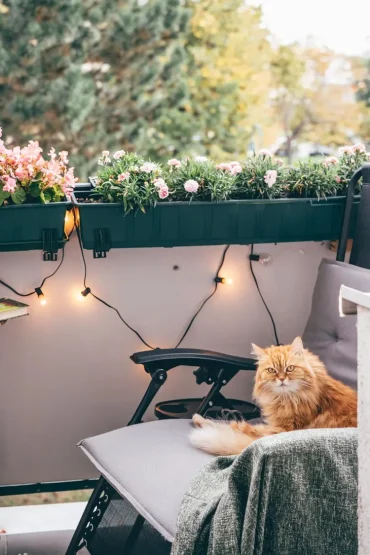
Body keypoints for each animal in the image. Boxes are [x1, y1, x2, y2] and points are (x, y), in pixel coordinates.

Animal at [189, 336, 356, 458]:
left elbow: (231, 425)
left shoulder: (276, 430)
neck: (287, 398)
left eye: (290, 368)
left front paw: (199, 421)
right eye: (271, 370)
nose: (281, 379)